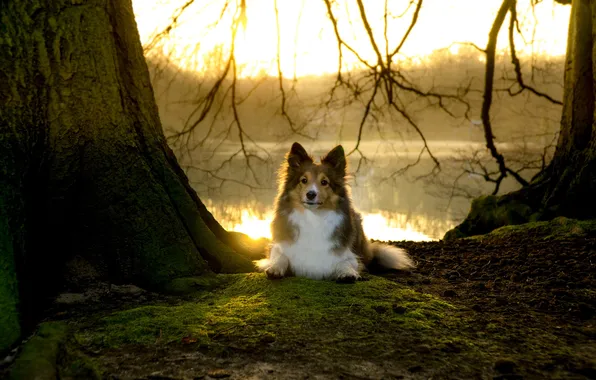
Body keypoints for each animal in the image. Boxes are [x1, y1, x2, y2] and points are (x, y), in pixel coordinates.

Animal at [255, 142, 414, 282]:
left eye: (324, 182)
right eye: (304, 180)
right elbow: (280, 257)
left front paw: (347, 273)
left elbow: (345, 262)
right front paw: (275, 268)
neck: (313, 218)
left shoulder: (349, 256)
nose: (310, 194)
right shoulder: (279, 247)